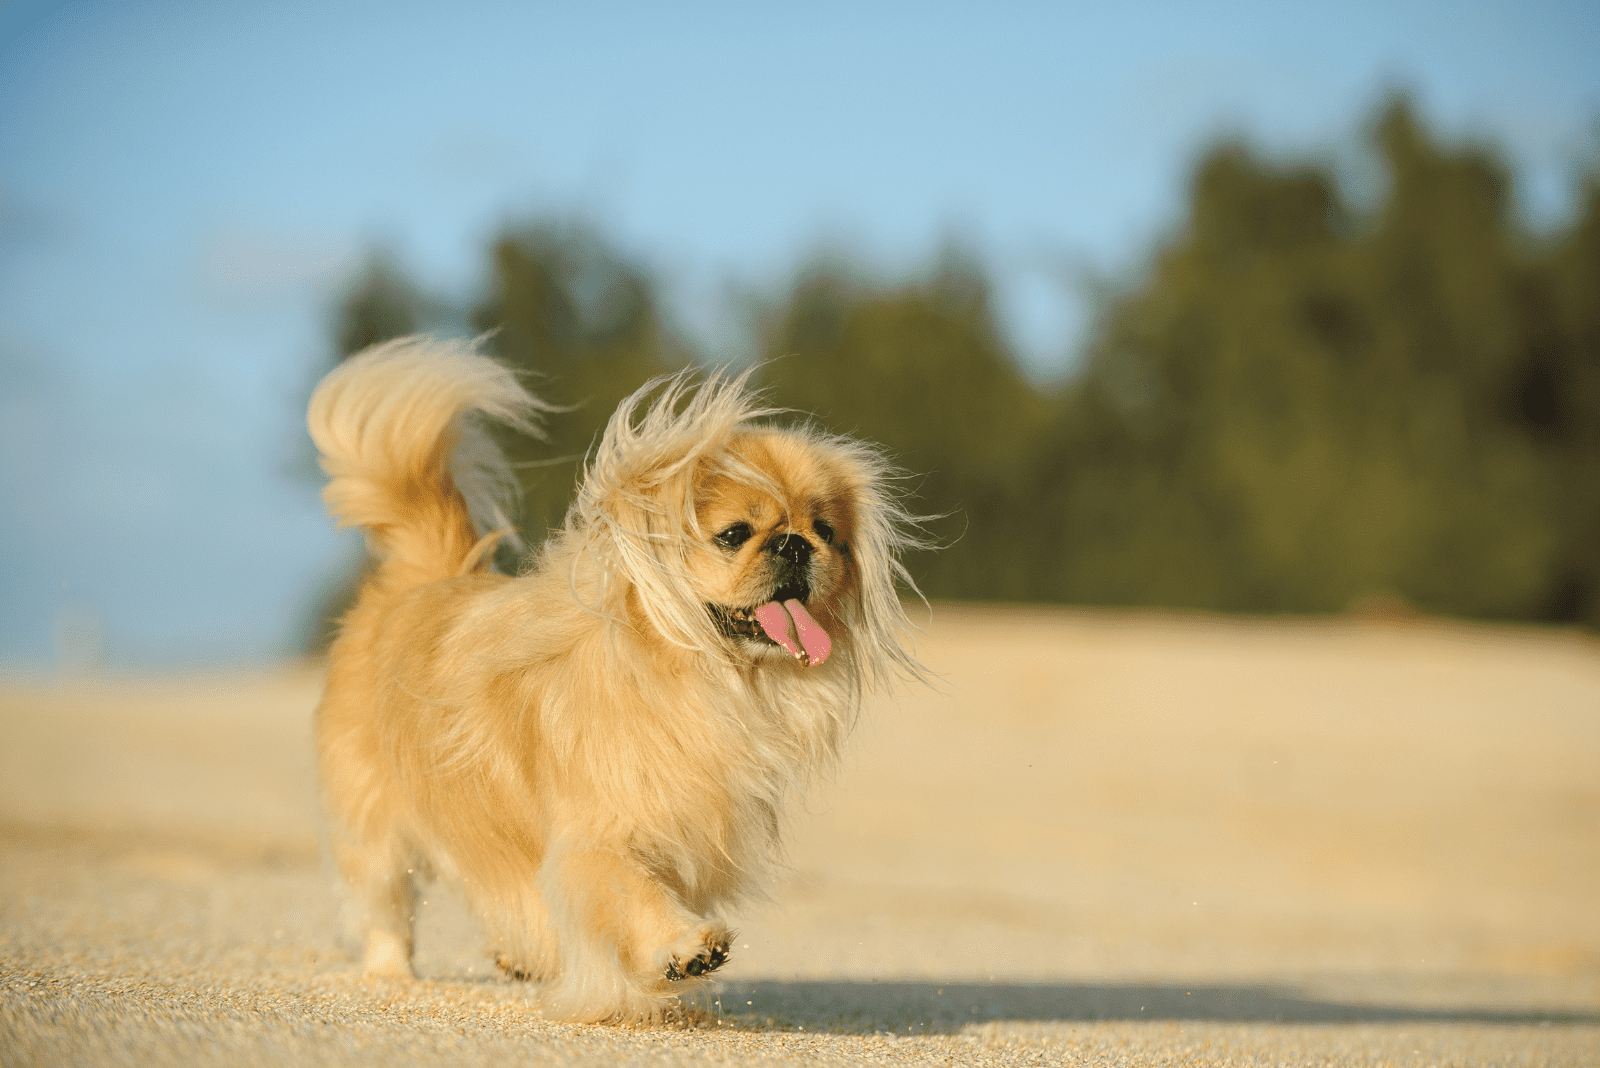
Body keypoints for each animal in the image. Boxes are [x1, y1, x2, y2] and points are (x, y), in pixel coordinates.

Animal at [305, 337, 921, 1023]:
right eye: (734, 535)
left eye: (827, 533)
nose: (793, 543)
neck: (698, 679)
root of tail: (421, 579)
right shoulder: (597, 840)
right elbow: (630, 893)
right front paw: (684, 950)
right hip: (374, 825)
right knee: (385, 908)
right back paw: (394, 977)